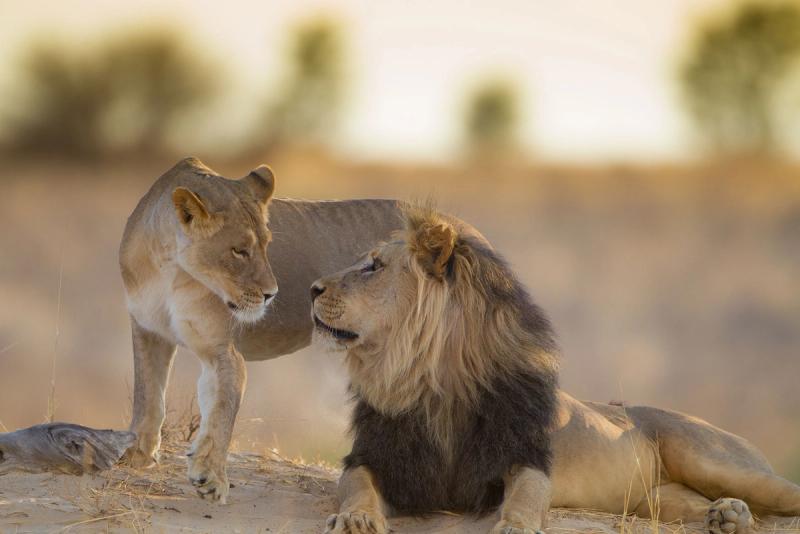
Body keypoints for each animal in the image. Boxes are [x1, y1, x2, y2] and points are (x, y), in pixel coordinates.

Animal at [119, 157, 409, 502]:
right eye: (239, 250)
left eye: (266, 245)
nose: (272, 294)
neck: (170, 267)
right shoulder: (148, 330)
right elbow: (148, 395)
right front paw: (137, 455)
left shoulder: (223, 350)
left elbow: (222, 411)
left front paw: (210, 476)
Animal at [310, 206, 800, 534]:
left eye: (373, 266)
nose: (311, 288)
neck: (430, 380)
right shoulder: (374, 460)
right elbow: (358, 487)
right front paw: (356, 518)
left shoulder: (525, 457)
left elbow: (526, 497)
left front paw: (514, 526)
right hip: (658, 502)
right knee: (714, 510)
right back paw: (729, 516)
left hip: (712, 459)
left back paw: (734, 512)